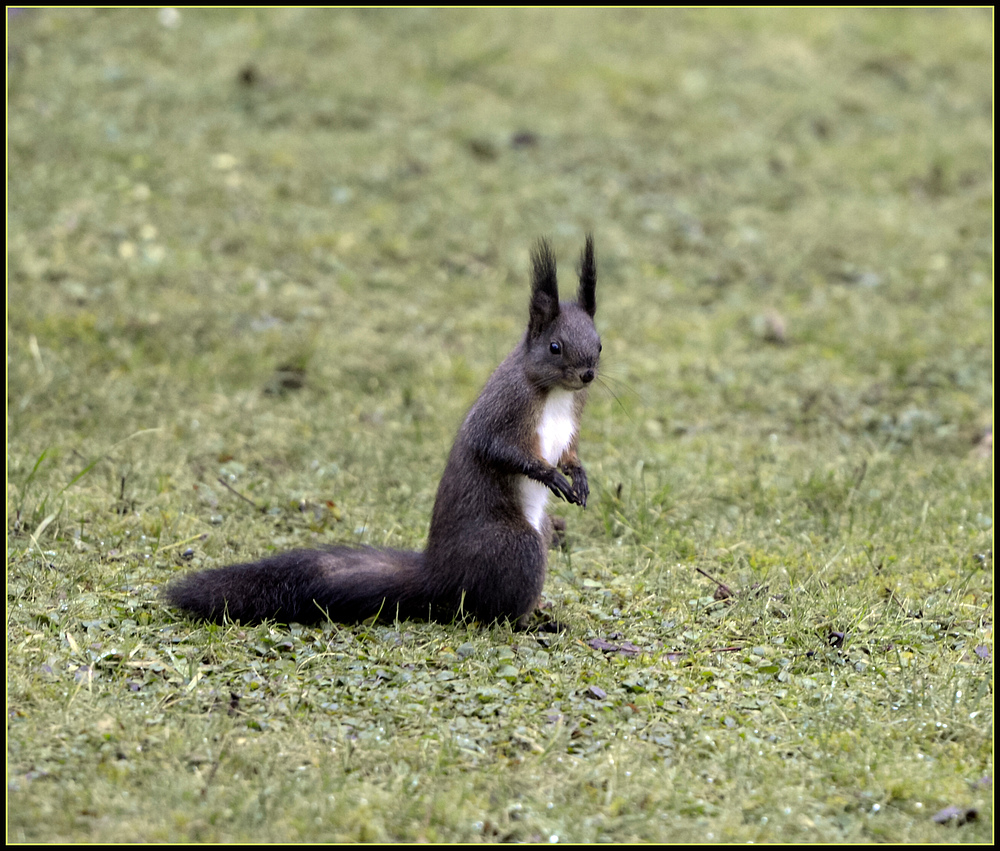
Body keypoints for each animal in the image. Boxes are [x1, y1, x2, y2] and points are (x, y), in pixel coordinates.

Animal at [166, 236, 600, 628]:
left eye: (599, 344)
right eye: (555, 347)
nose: (587, 375)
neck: (555, 394)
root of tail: (441, 576)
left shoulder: (573, 417)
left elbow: (570, 452)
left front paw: (578, 476)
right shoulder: (503, 410)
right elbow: (499, 449)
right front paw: (549, 476)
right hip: (517, 546)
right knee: (490, 614)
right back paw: (531, 622)